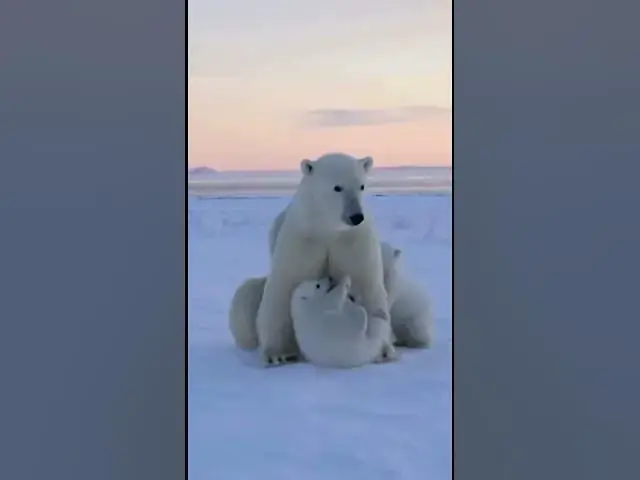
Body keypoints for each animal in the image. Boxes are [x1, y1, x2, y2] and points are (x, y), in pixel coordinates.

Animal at [255, 152, 392, 366]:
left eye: (361, 185)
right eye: (337, 187)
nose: (356, 216)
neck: (329, 229)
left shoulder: (353, 240)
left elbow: (365, 283)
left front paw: (383, 349)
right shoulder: (304, 239)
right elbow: (284, 287)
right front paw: (276, 353)